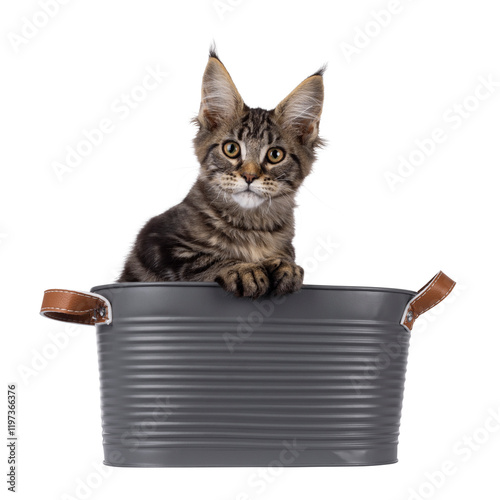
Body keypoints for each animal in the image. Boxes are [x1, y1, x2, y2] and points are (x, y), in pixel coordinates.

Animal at [119, 49, 326, 296]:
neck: (251, 228)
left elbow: (288, 257)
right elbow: (205, 258)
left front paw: (285, 266)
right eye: (231, 149)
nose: (249, 176)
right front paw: (244, 269)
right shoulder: (157, 241)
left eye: (275, 155)